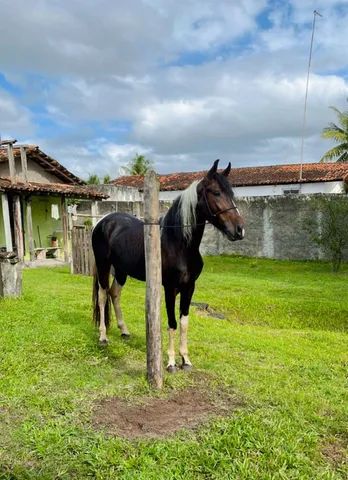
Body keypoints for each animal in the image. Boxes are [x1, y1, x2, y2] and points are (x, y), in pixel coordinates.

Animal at [92, 159, 245, 374]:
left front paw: (186, 360)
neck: (179, 244)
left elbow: (184, 322)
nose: (239, 230)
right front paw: (171, 362)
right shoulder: (170, 289)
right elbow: (172, 323)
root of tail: (103, 222)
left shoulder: (189, 287)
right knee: (103, 295)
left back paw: (124, 331)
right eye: (216, 192)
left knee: (114, 294)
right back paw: (103, 337)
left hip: (122, 271)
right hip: (103, 265)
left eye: (231, 193)